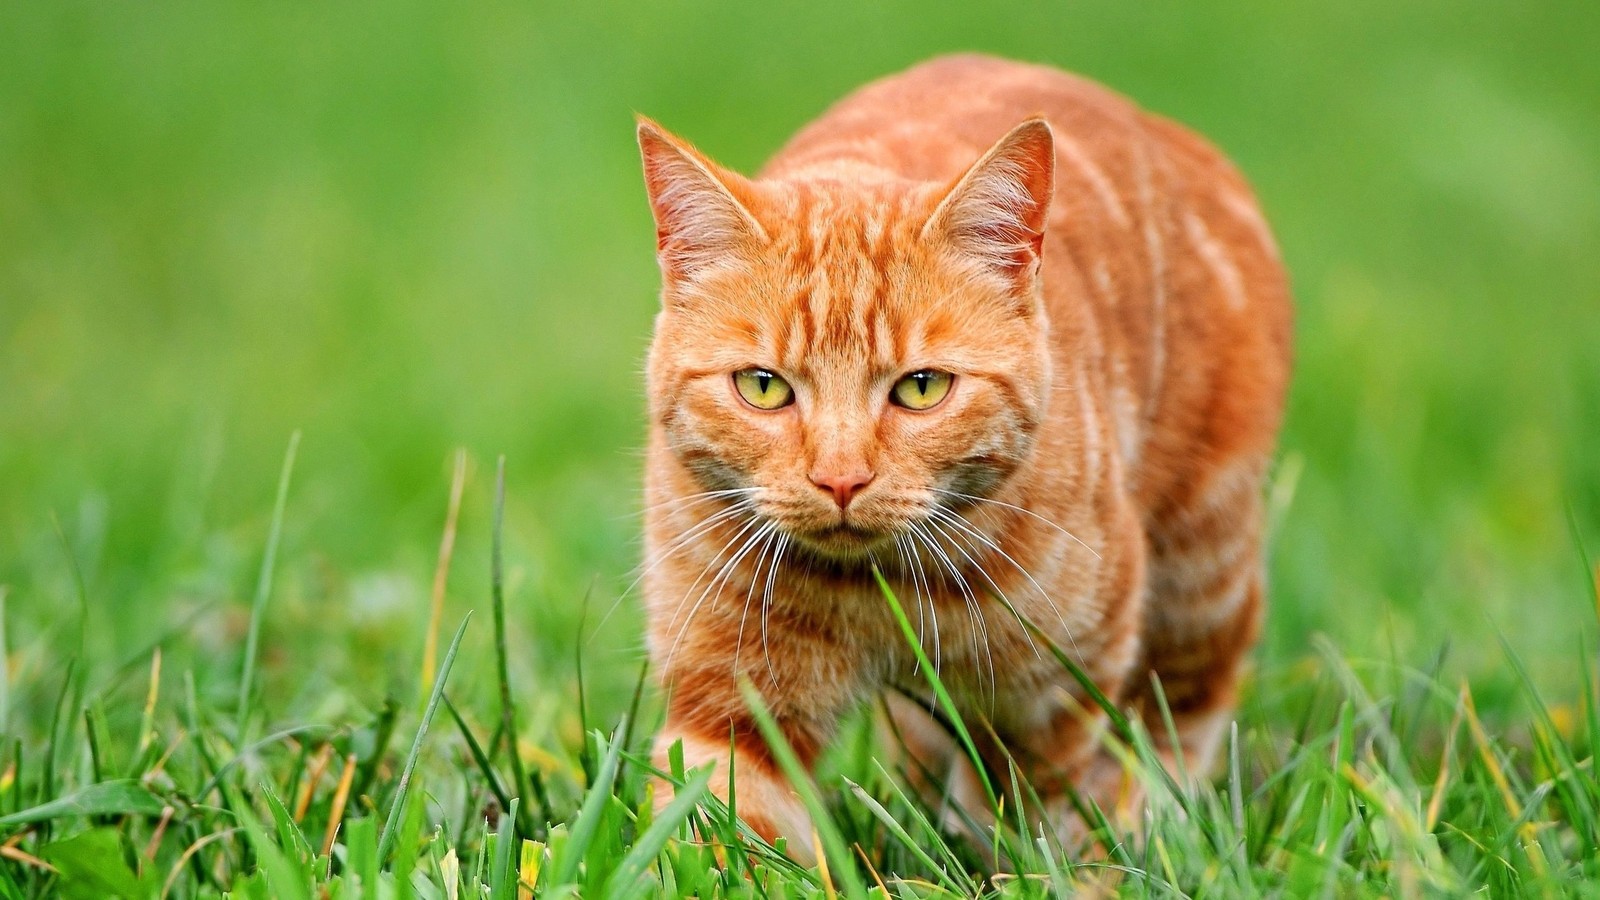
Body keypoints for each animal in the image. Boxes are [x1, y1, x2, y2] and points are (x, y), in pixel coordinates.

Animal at [633, 54, 1286, 851]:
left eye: (921, 389)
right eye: (763, 387)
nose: (840, 480)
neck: (873, 592)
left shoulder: (1054, 691)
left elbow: (1034, 812)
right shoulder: (729, 699)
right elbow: (728, 832)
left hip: (1201, 572)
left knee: (1181, 716)